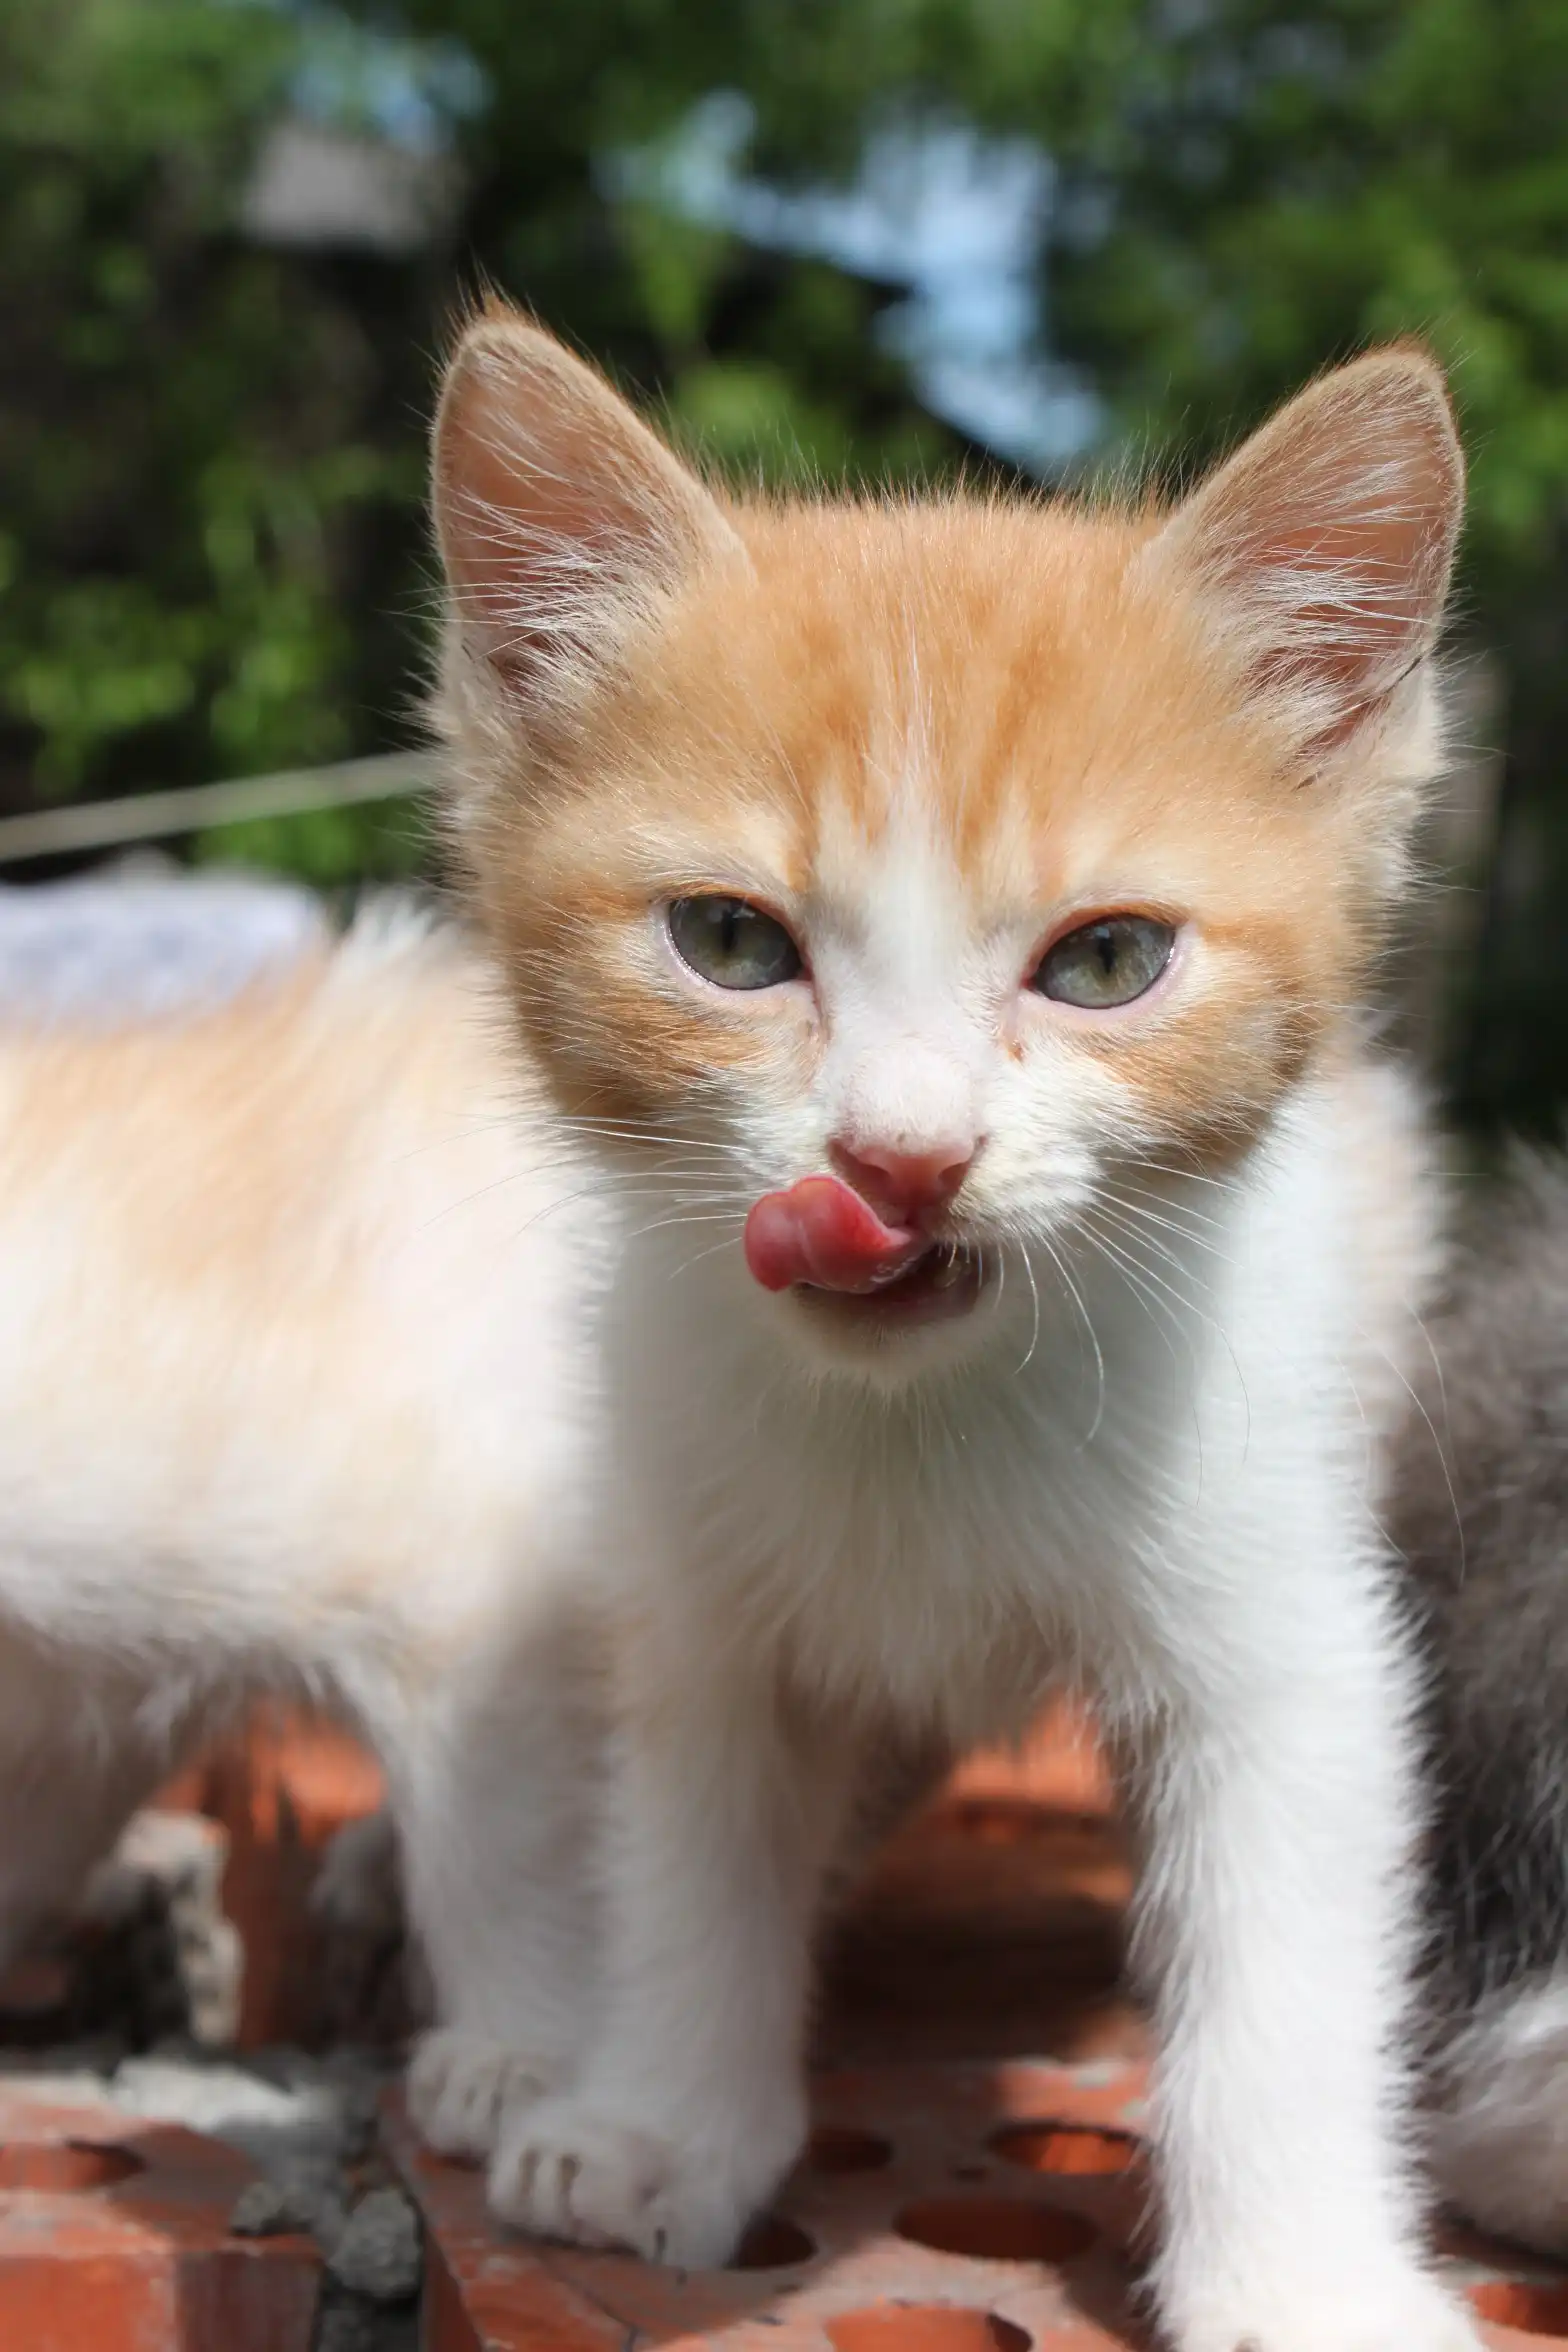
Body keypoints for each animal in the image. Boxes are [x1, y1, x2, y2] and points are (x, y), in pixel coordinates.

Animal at [412, 306, 1480, 2352]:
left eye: (1107, 961)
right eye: (730, 945)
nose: (897, 1158)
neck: (924, 1422)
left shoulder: (1280, 1633)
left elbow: (1282, 1960)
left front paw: (1298, 2271)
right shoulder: (699, 1595)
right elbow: (692, 1862)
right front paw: (667, 2124)